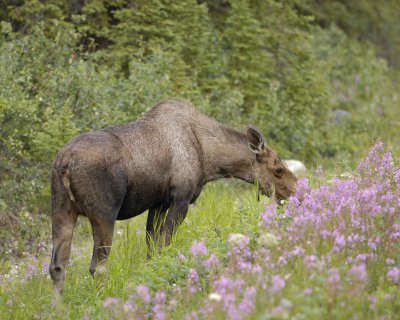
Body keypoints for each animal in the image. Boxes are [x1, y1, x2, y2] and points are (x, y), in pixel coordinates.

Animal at [49, 99, 296, 294]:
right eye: (278, 169)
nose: (296, 189)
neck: (210, 159)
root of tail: (64, 163)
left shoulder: (158, 204)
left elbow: (151, 250)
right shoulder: (181, 200)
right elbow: (164, 245)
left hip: (62, 210)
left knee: (57, 267)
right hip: (103, 213)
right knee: (97, 267)